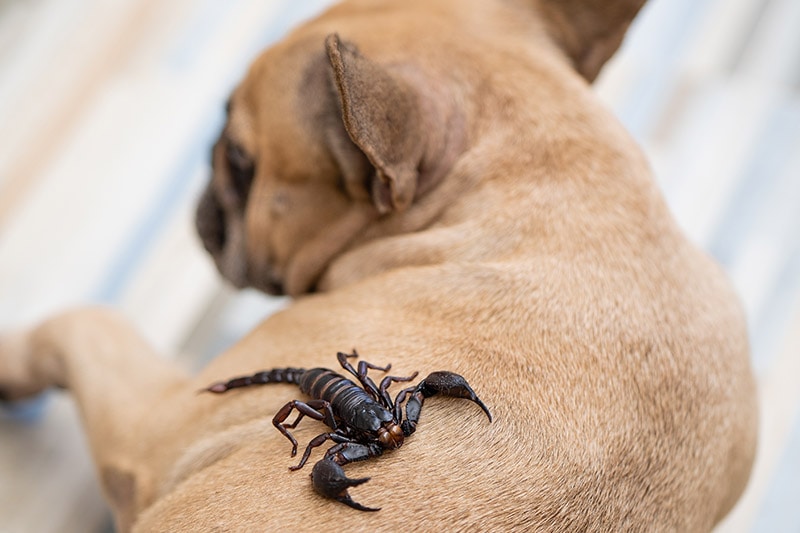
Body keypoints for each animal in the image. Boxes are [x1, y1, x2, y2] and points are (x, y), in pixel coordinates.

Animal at [0, 0, 756, 528]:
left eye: (239, 160)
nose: (208, 185)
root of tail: (307, 375)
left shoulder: (150, 425)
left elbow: (411, 380)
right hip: (291, 397)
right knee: (291, 413)